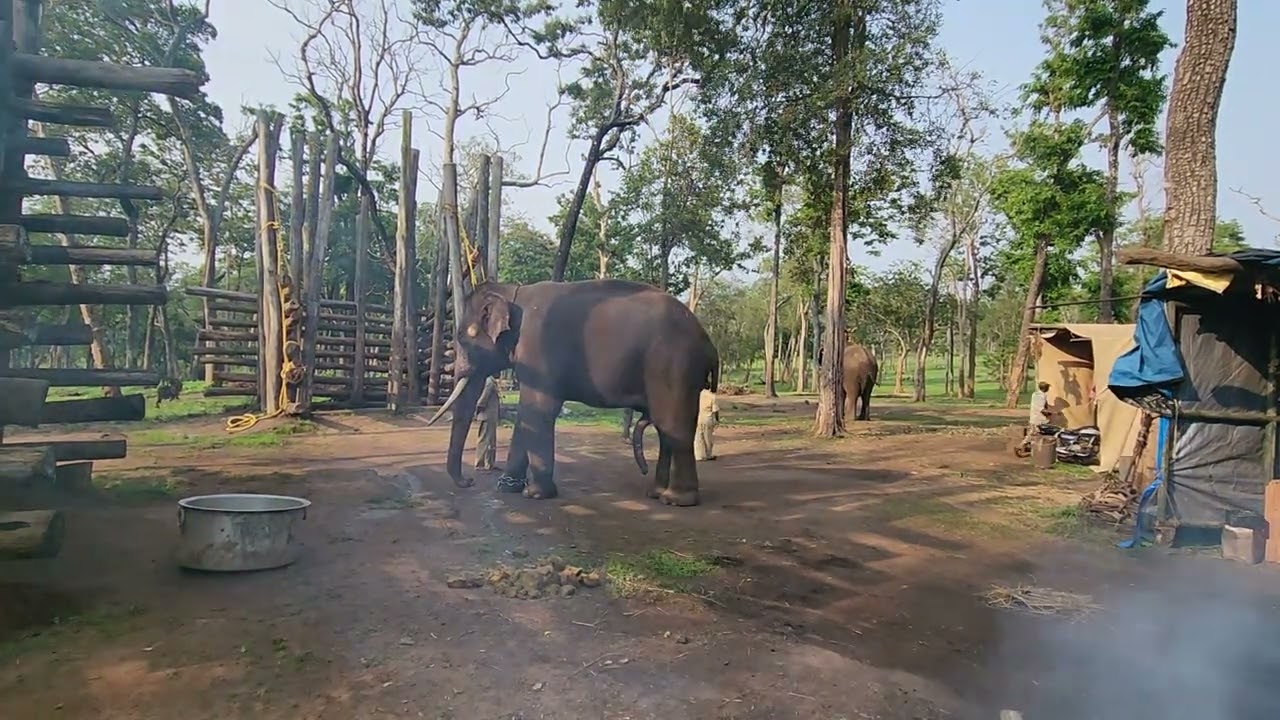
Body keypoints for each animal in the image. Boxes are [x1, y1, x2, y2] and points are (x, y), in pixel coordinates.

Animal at [426, 278, 720, 507]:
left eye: (463, 338)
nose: (468, 481)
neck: (512, 292)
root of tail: (708, 342)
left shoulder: (537, 348)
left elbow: (538, 411)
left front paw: (535, 494)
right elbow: (526, 416)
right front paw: (506, 487)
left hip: (674, 366)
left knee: (673, 426)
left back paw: (676, 500)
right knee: (664, 429)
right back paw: (656, 493)